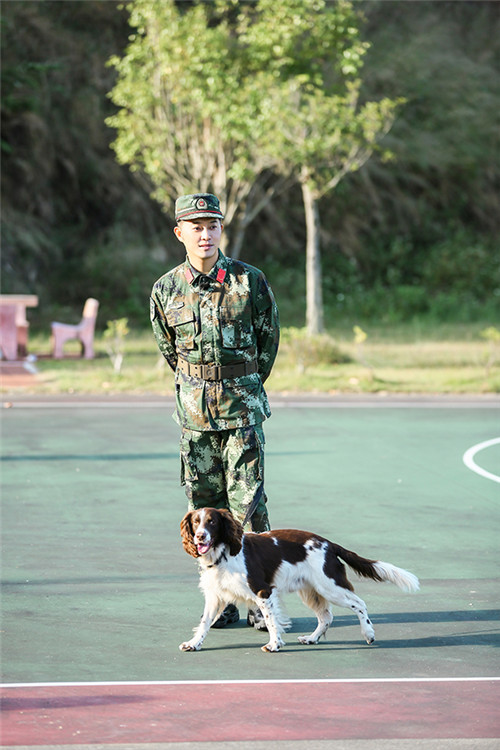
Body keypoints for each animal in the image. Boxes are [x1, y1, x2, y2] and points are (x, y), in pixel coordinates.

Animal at [180, 508, 418, 656]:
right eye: (195, 522)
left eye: (212, 522)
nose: (200, 536)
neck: (223, 553)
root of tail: (329, 544)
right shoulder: (215, 596)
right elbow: (205, 623)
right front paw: (193, 644)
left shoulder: (263, 591)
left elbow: (271, 620)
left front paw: (274, 645)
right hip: (311, 591)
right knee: (326, 617)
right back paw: (312, 639)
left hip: (329, 586)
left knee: (359, 604)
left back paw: (368, 634)